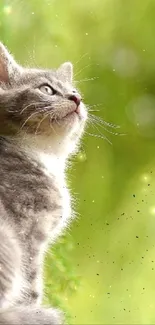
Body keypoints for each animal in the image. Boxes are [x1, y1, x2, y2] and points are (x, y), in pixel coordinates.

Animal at [0, 41, 87, 322]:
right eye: (47, 89)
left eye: (75, 91)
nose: (76, 99)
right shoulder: (28, 232)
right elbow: (31, 284)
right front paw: (32, 309)